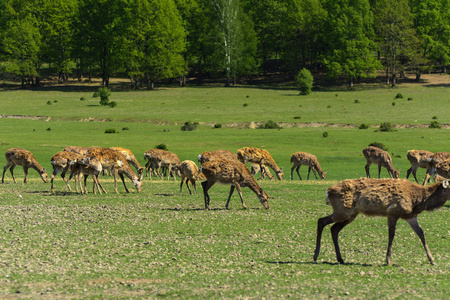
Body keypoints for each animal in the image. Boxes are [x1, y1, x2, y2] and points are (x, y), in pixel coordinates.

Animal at [312, 178, 450, 264]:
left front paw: (432, 260)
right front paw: (388, 260)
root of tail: (328, 191)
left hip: (351, 214)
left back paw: (340, 259)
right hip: (343, 210)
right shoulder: (392, 212)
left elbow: (421, 233)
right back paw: (315, 255)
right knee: (321, 221)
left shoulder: (410, 216)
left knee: (334, 228)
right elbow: (391, 235)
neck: (417, 201)